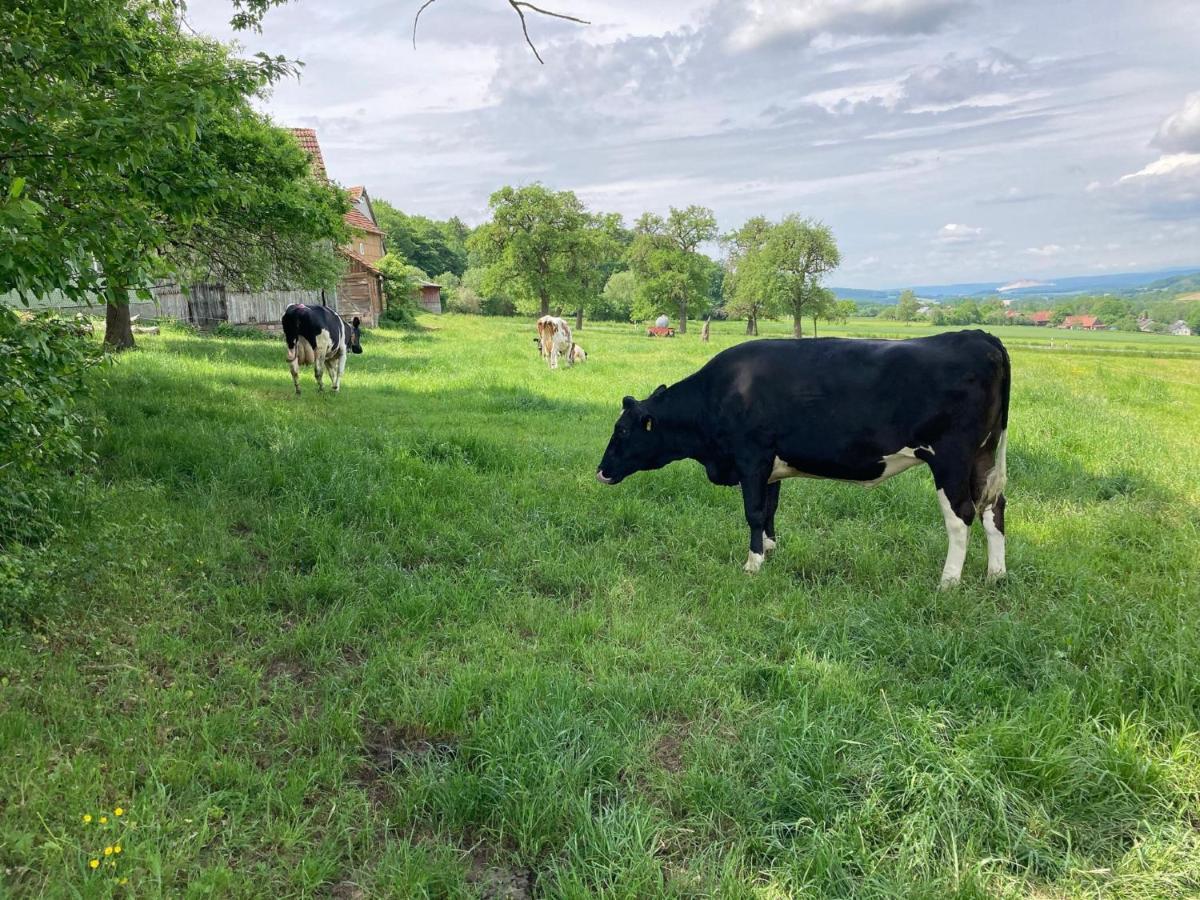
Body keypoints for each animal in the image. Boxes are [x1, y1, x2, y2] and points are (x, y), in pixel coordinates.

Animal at [595, 331, 1008, 592]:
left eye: (623, 430)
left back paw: (948, 582)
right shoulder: (771, 466)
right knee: (994, 508)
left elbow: (753, 512)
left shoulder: (752, 457)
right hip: (985, 457)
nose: (601, 471)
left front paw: (753, 563)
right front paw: (770, 550)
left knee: (961, 516)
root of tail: (979, 337)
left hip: (950, 460)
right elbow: (770, 509)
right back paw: (996, 576)